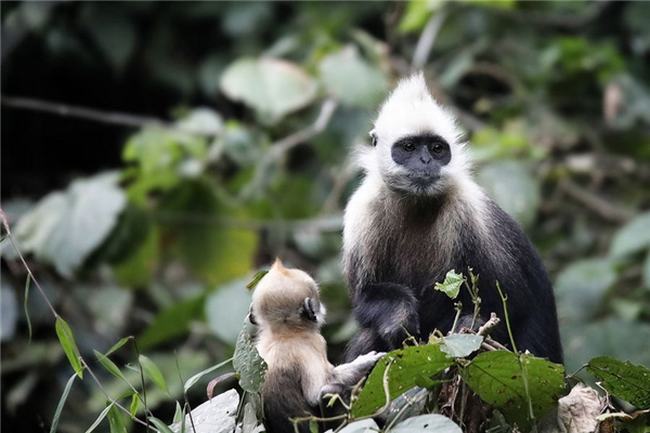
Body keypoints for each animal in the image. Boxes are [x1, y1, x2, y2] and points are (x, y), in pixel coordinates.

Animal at [247, 258, 380, 432]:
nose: (322, 307)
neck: (283, 335)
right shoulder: (313, 343)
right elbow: (316, 393)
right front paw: (363, 363)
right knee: (330, 391)